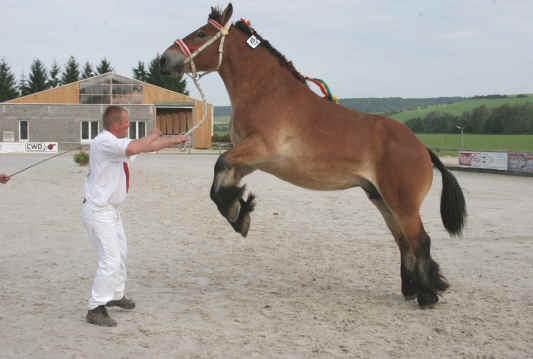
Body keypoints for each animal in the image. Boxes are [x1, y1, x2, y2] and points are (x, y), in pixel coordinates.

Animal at [159, 2, 466, 308]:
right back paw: (411, 289)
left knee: (420, 240)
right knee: (404, 242)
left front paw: (238, 213)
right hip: (381, 198)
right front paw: (239, 210)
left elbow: (219, 166)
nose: (164, 59)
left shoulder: (260, 148)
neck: (268, 93)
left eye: (201, 34)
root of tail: (422, 148)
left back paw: (427, 295)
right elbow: (222, 180)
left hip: (402, 203)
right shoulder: (253, 160)